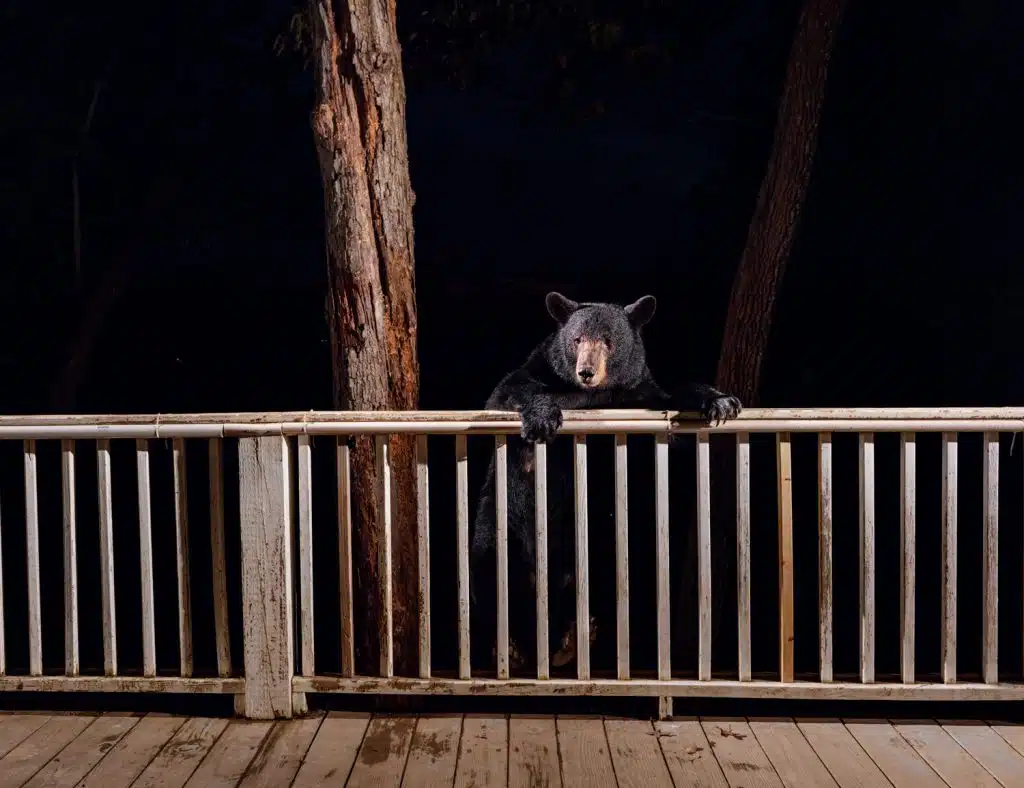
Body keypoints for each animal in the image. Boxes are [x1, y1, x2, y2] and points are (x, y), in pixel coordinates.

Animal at [469, 291, 742, 674]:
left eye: (609, 342)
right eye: (577, 339)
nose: (586, 372)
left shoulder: (640, 395)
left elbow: (671, 404)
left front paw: (720, 400)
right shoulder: (535, 371)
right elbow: (507, 393)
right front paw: (542, 417)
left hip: (598, 549)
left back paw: (572, 638)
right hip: (497, 525)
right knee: (489, 573)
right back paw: (511, 646)